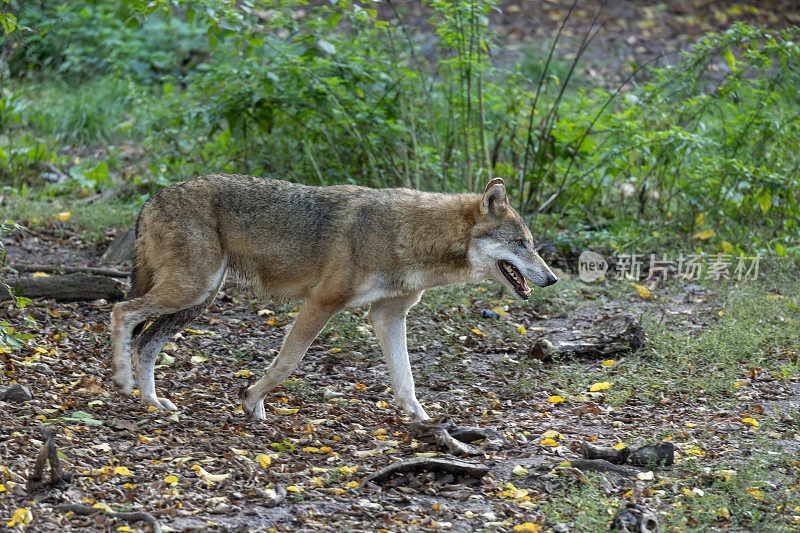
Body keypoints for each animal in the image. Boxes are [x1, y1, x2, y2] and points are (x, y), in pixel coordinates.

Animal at [111, 175, 556, 420]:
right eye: (521, 244)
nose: (551, 278)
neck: (410, 237)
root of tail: (152, 197)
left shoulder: (387, 317)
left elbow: (406, 383)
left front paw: (425, 422)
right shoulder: (321, 302)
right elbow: (285, 365)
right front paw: (251, 400)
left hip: (197, 300)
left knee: (145, 341)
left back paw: (152, 402)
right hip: (191, 291)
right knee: (121, 311)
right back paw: (122, 381)